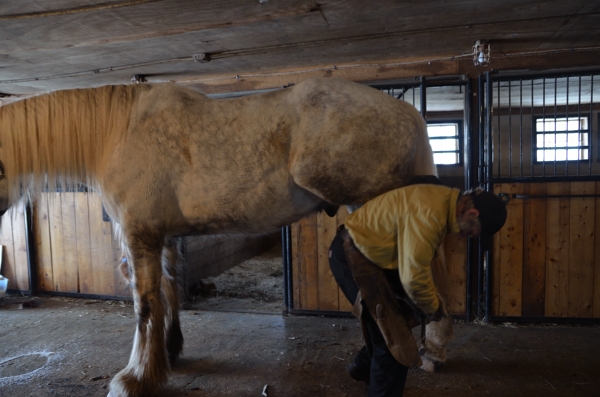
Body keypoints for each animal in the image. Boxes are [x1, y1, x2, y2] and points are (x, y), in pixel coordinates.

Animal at [0, 76, 452, 394]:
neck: (120, 133)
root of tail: (405, 112)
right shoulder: (164, 237)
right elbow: (169, 292)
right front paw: (169, 353)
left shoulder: (139, 233)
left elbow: (145, 304)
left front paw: (135, 377)